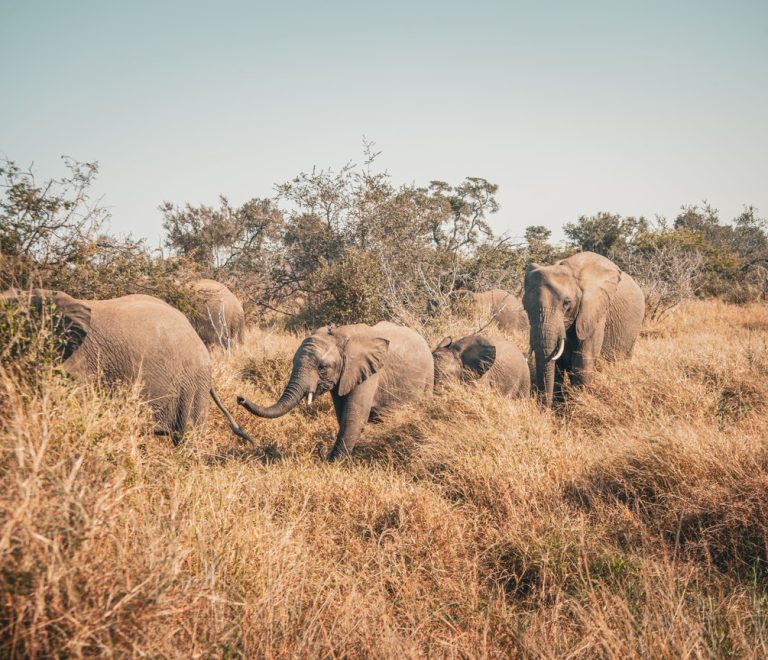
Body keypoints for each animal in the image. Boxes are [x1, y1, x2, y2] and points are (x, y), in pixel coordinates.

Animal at [237, 321, 434, 461]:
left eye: (322, 367)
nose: (240, 398)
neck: (341, 334)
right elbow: (342, 414)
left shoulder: (368, 373)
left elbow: (353, 417)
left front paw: (333, 463)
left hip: (428, 378)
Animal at [523, 251, 645, 407]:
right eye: (525, 306)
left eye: (567, 303)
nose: (544, 410)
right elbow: (557, 364)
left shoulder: (595, 311)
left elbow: (582, 363)